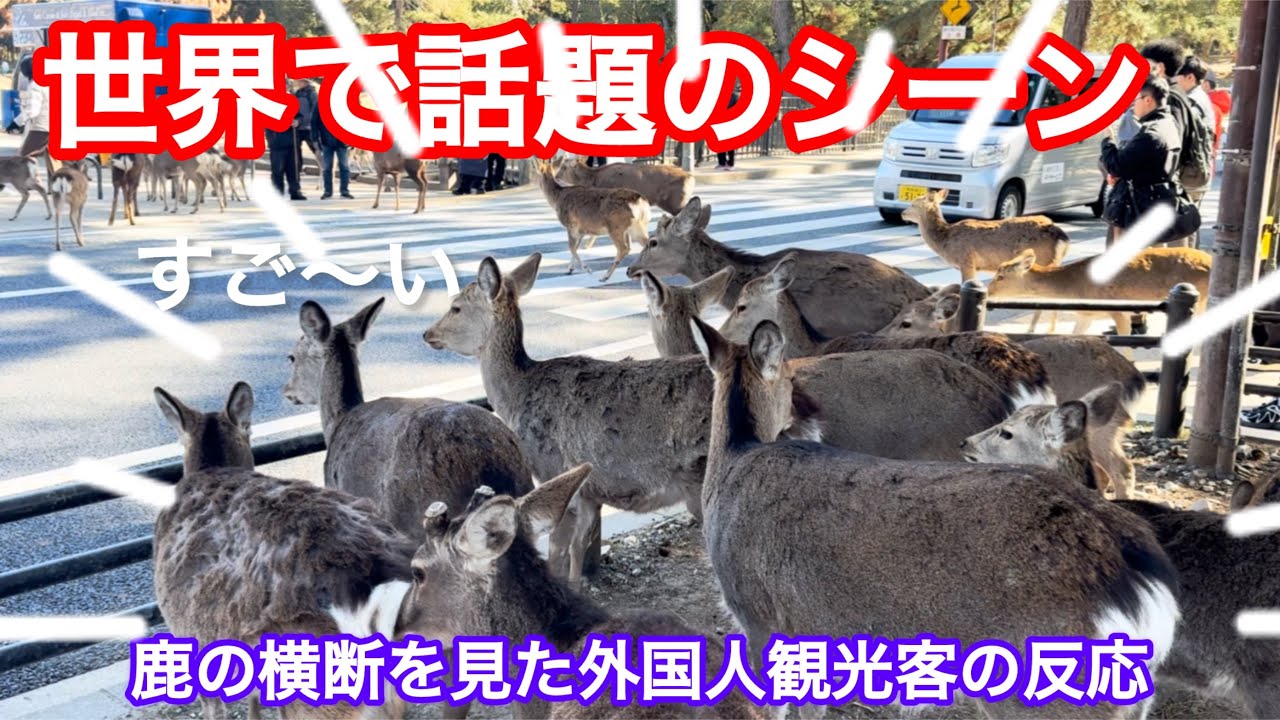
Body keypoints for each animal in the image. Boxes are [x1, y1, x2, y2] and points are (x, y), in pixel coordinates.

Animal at [424, 253, 1020, 584]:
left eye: (455, 306)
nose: (427, 333)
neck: (519, 395)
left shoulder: (556, 470)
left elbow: (558, 553)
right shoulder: (590, 489)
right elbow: (579, 556)